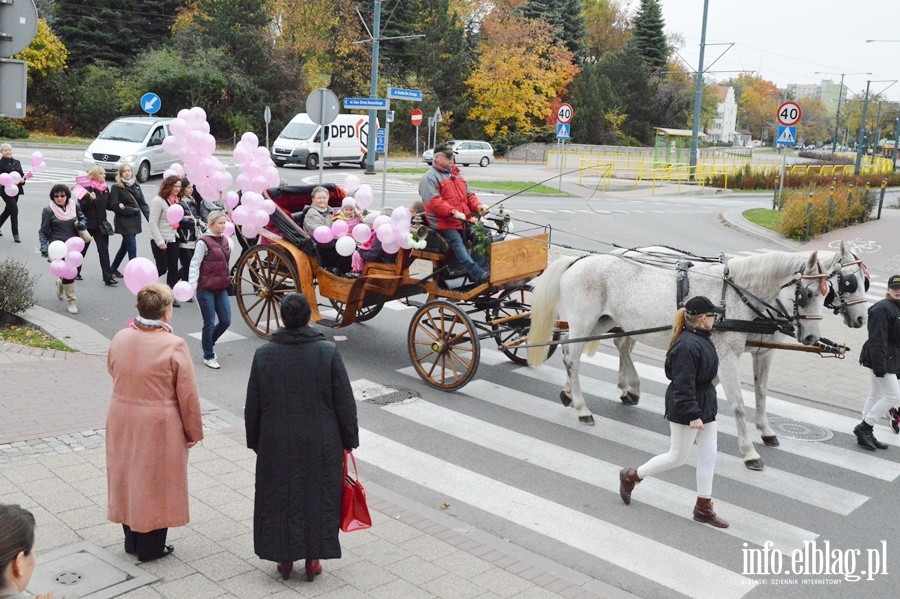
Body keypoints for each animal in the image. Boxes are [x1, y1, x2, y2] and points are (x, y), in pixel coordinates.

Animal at [528, 251, 828, 472]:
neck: (733, 294)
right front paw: (749, 452)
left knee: (572, 351)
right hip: (584, 320)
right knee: (572, 359)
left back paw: (572, 395)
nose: (812, 337)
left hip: (600, 322)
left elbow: (744, 391)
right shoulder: (728, 355)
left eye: (826, 294)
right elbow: (739, 405)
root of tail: (577, 261)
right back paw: (582, 409)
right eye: (807, 294)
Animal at [608, 241, 868, 448]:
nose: (861, 319)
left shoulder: (763, 352)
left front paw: (764, 430)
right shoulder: (727, 352)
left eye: (865, 282)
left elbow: (759, 391)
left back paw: (626, 387)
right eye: (849, 283)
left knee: (623, 345)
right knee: (622, 345)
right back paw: (631, 387)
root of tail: (623, 251)